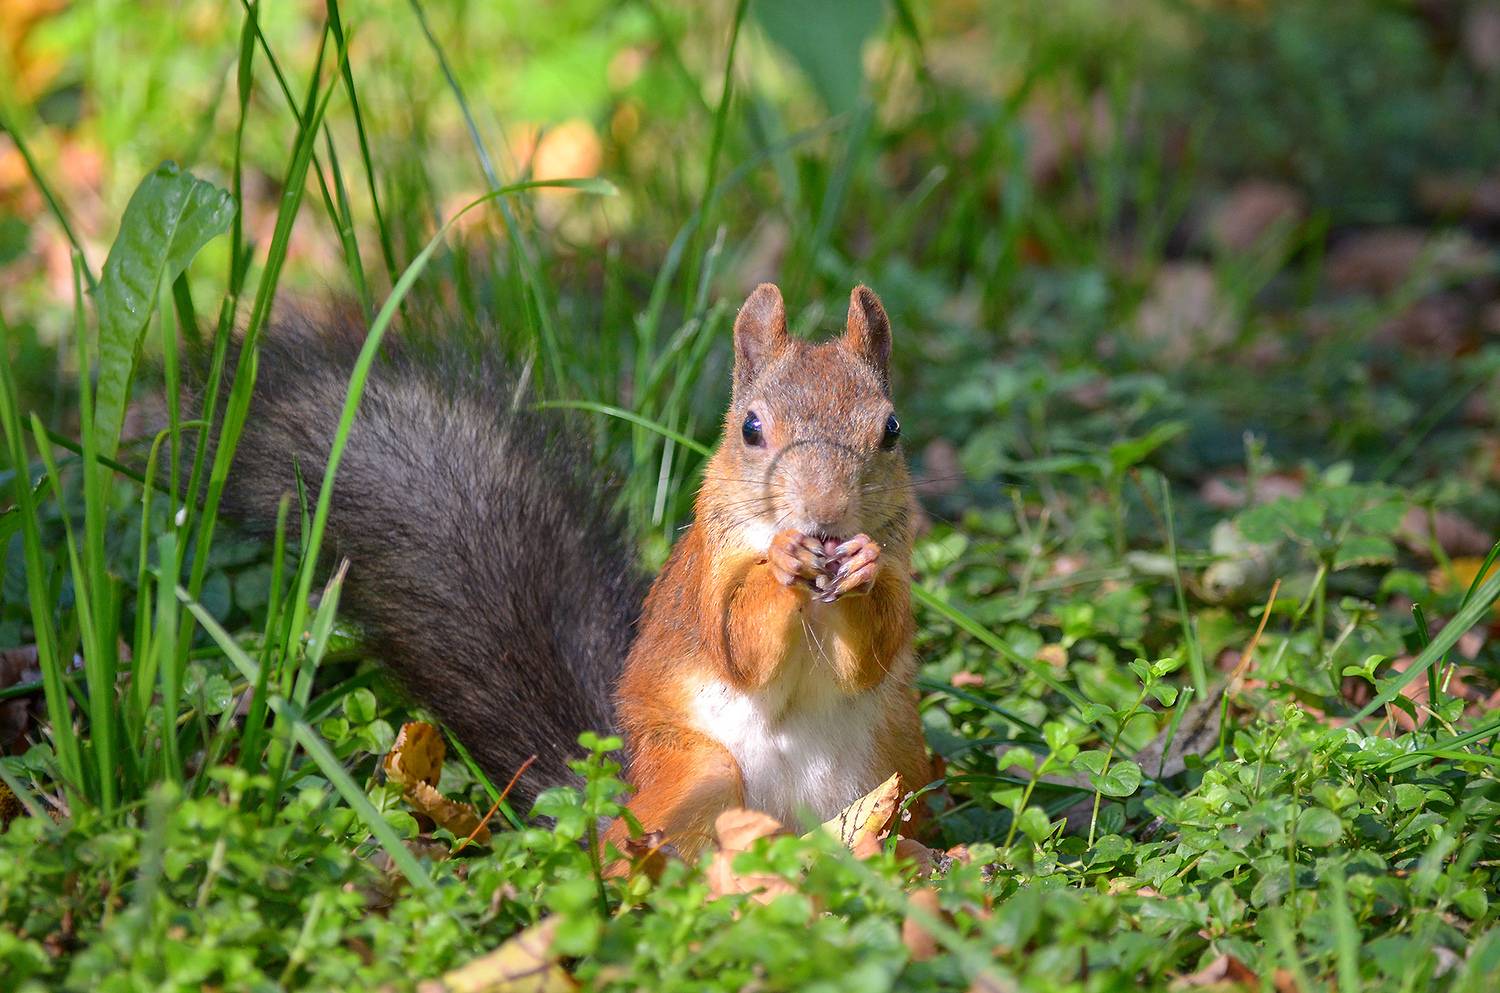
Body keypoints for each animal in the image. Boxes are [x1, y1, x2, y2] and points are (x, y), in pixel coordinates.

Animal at [207, 282, 931, 861]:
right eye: (751, 429)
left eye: (892, 428)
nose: (825, 513)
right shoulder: (705, 575)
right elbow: (736, 640)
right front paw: (780, 562)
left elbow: (872, 653)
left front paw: (861, 564)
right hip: (695, 771)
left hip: (891, 771)